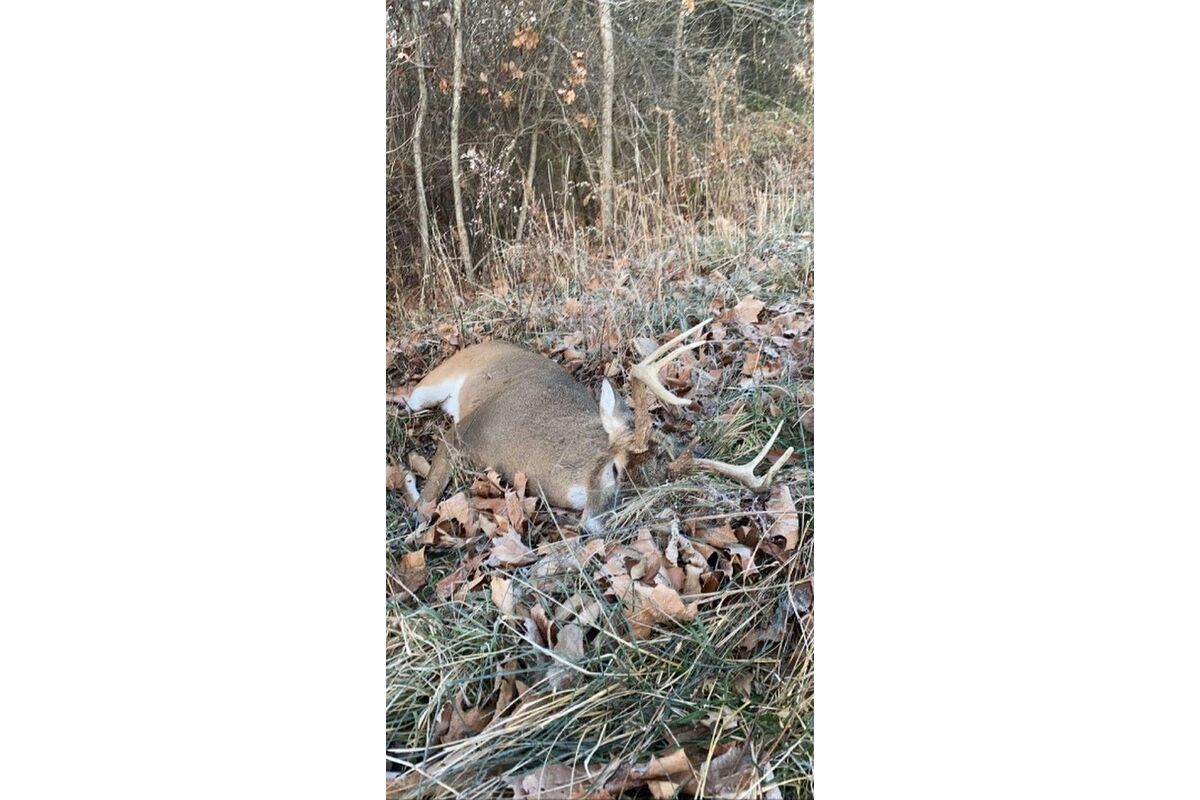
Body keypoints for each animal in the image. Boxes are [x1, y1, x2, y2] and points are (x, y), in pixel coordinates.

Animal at [400, 318, 793, 534]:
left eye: (643, 495)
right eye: (615, 470)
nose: (599, 524)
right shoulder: (463, 432)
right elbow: (427, 503)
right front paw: (409, 491)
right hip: (428, 388)